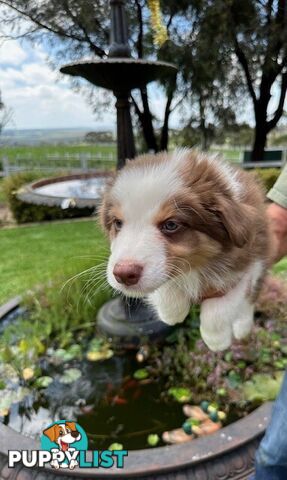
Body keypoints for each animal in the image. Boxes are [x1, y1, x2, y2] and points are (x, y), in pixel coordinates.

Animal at [100, 148, 272, 350]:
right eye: (118, 223)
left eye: (171, 225)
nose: (123, 274)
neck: (198, 265)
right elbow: (166, 286)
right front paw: (172, 313)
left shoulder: (250, 264)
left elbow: (221, 306)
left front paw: (216, 340)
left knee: (249, 302)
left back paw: (242, 329)